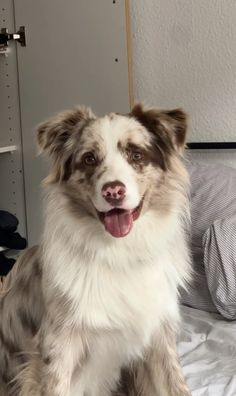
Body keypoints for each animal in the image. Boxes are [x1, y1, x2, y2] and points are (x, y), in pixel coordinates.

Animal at [0, 103, 192, 394]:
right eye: (90, 158)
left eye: (136, 154)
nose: (113, 191)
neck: (119, 252)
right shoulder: (56, 349)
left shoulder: (160, 339)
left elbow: (177, 385)